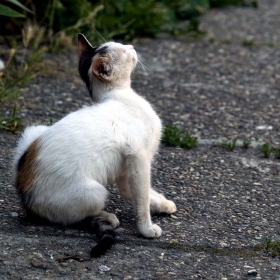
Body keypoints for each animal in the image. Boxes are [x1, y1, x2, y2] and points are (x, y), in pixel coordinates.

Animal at [13, 34, 177, 258]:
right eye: (123, 51)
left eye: (123, 45)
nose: (132, 46)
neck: (120, 96)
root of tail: (24, 193)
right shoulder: (138, 157)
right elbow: (141, 195)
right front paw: (146, 228)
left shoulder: (126, 168)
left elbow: (135, 192)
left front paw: (162, 204)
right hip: (93, 191)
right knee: (72, 218)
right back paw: (107, 217)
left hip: (33, 132)